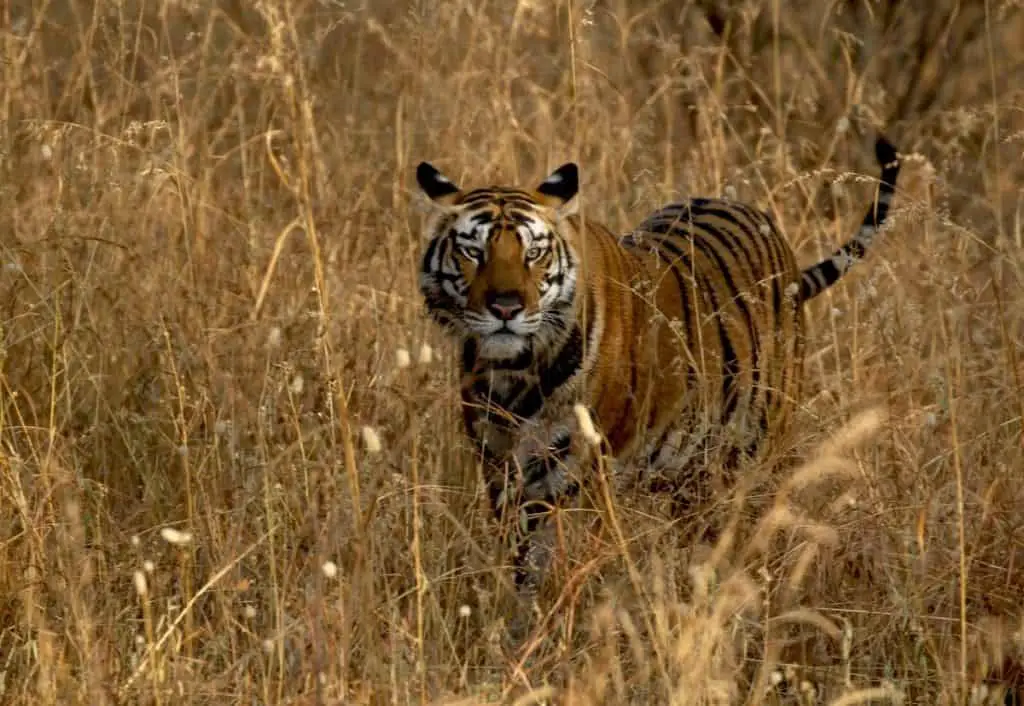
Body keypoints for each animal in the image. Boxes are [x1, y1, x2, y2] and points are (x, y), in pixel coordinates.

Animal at [411, 136, 901, 610]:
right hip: (691, 475)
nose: (506, 308)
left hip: (754, 455)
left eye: (533, 253)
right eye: (473, 252)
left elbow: (547, 562)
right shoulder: (499, 467)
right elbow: (518, 560)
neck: (513, 373)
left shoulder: (574, 472)